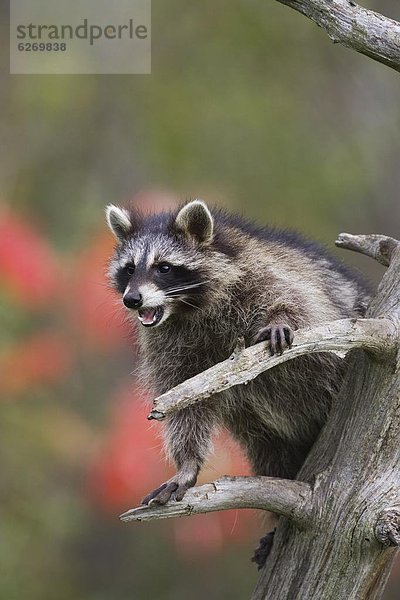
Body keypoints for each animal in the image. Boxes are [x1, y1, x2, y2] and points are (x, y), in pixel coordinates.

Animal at [105, 199, 368, 560]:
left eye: (163, 268)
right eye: (129, 269)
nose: (132, 299)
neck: (186, 308)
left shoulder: (263, 275)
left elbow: (303, 305)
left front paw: (282, 317)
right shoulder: (169, 346)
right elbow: (184, 401)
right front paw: (187, 464)